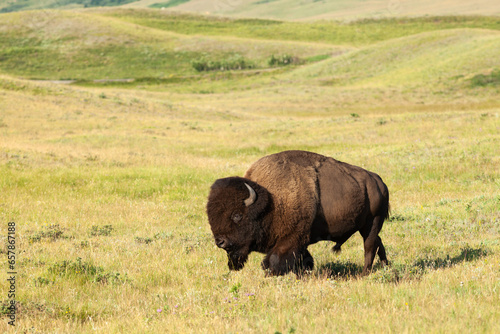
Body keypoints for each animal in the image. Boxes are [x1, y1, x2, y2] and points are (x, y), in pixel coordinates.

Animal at [205, 150, 388, 276]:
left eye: (237, 215)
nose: (220, 242)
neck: (271, 200)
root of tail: (379, 181)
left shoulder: (292, 238)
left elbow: (274, 261)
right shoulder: (300, 242)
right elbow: (304, 259)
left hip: (372, 223)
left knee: (369, 247)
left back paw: (364, 274)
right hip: (367, 227)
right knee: (378, 243)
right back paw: (386, 266)